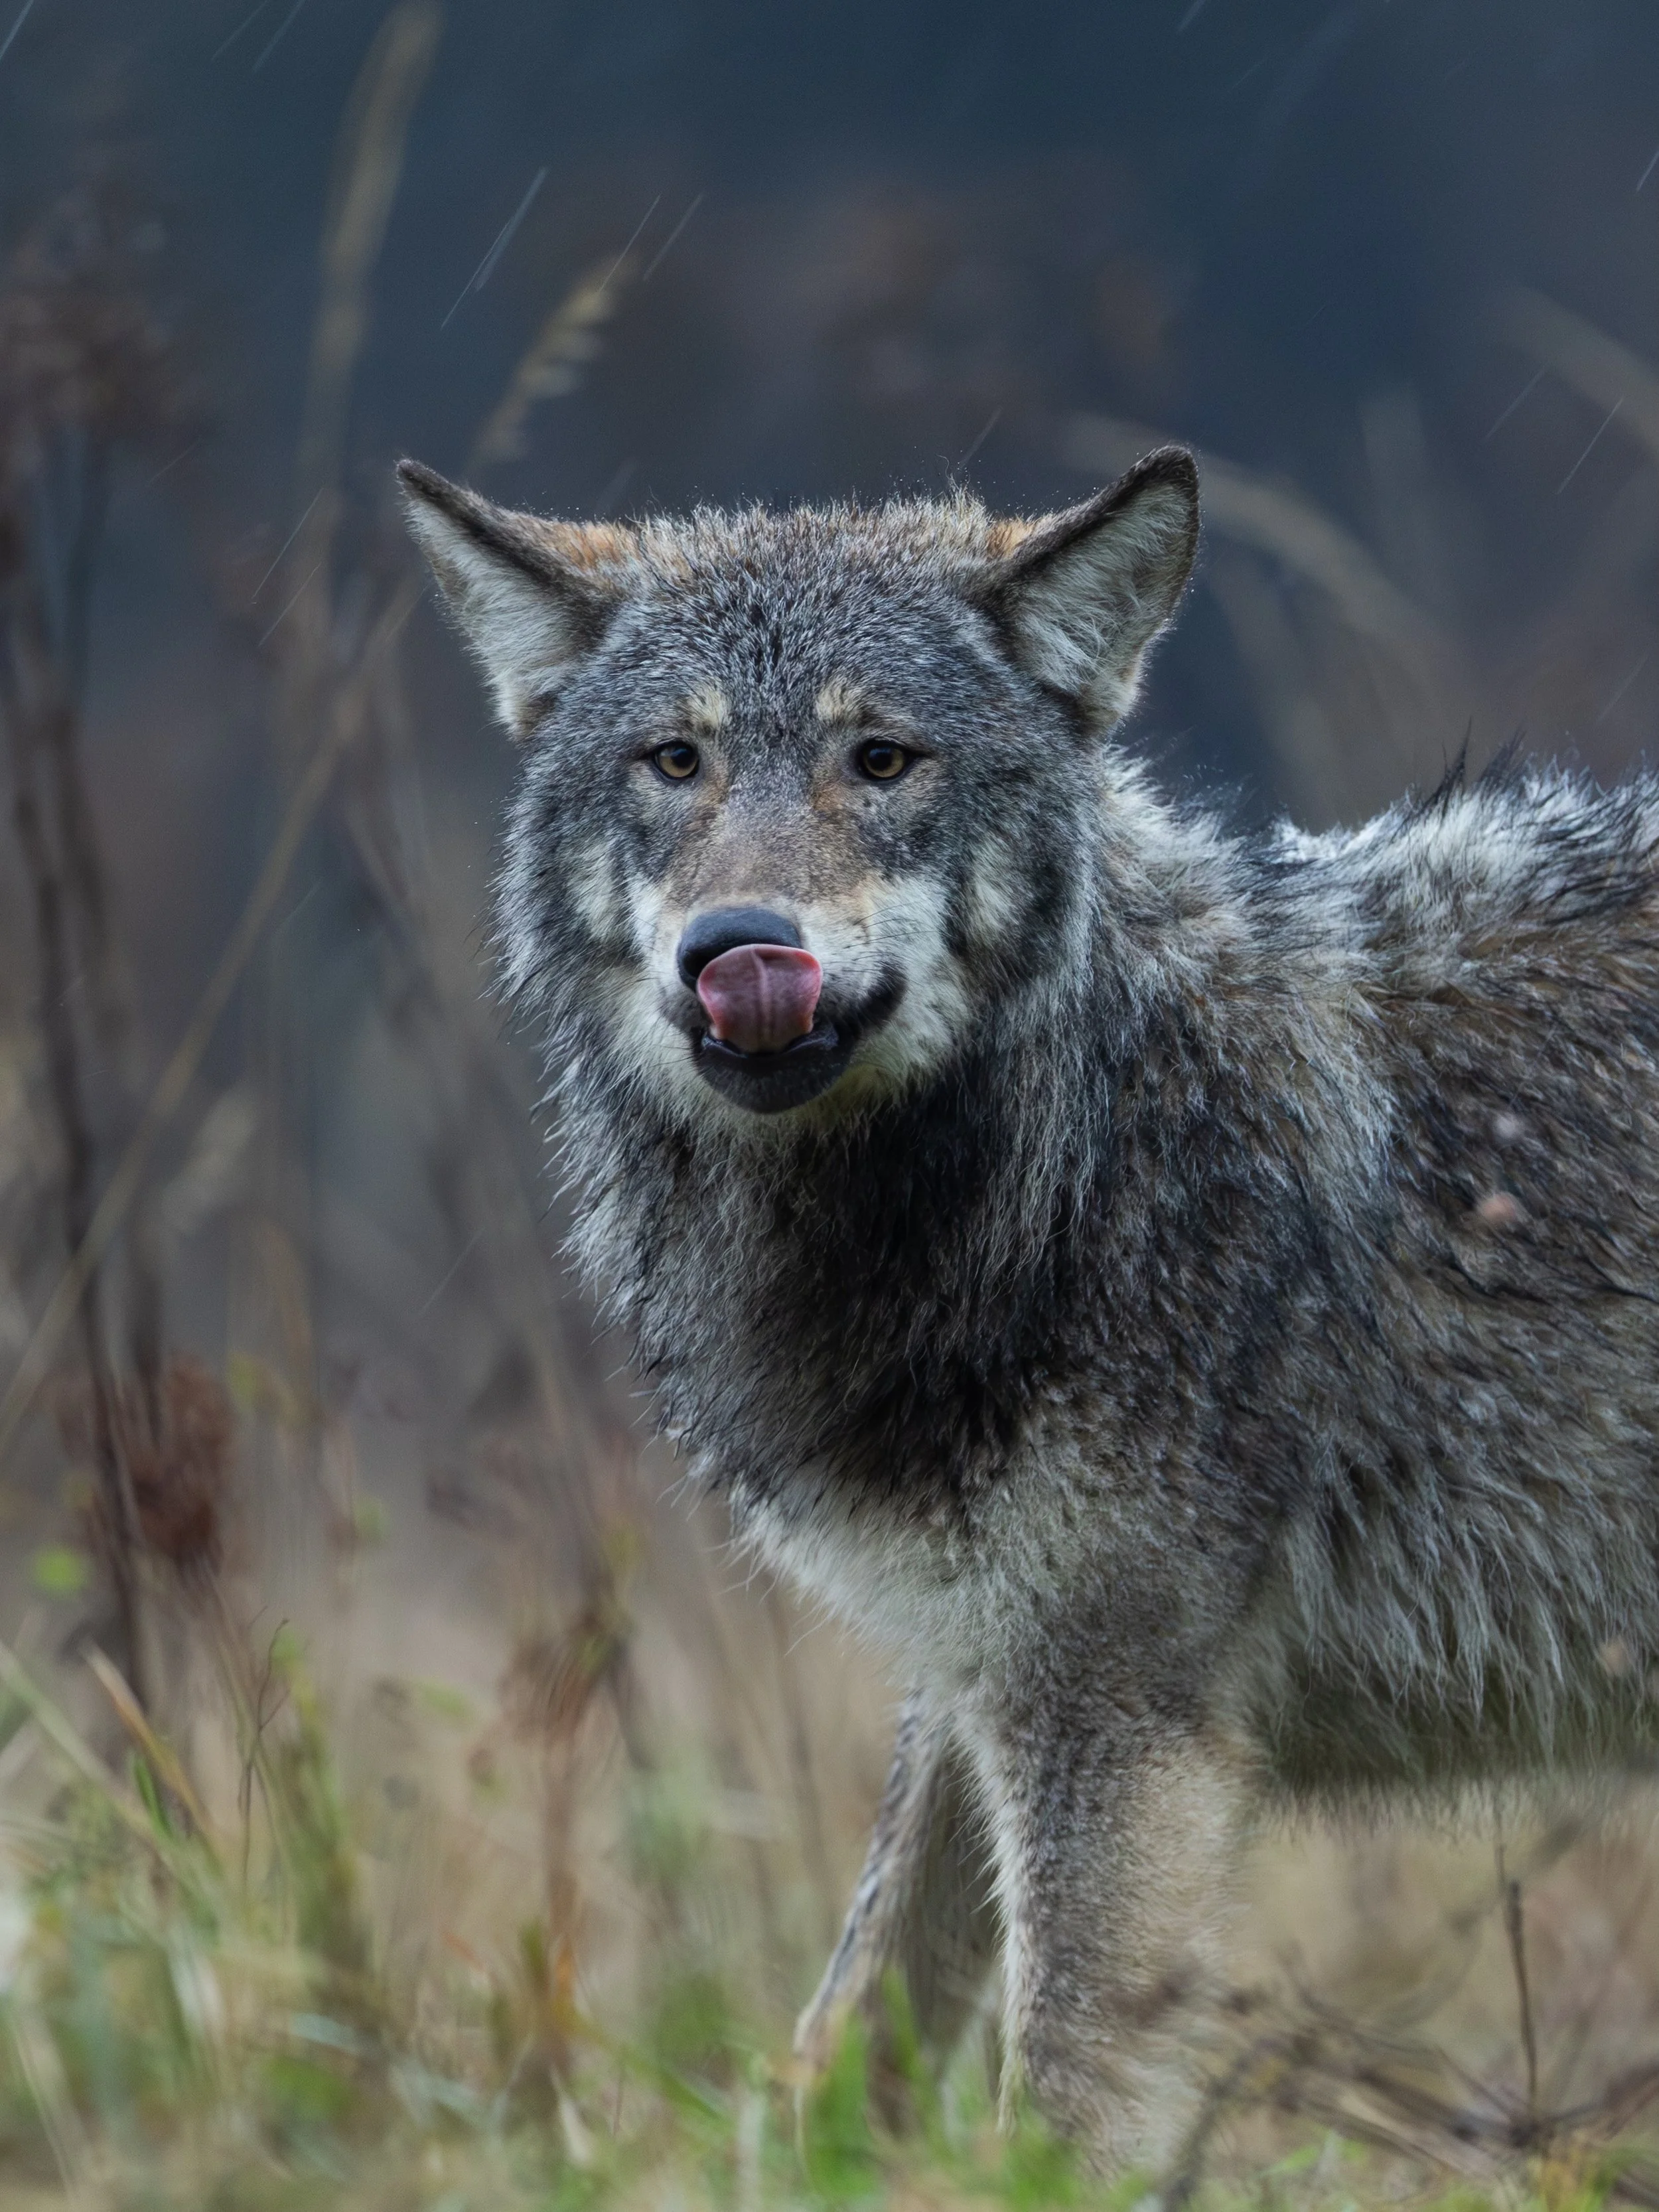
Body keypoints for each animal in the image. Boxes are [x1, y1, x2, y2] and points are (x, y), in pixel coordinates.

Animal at [400, 443, 1659, 2165]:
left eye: (880, 759)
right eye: (675, 762)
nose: (740, 949)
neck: (1071, 1148)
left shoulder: (1110, 1720)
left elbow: (1052, 2105)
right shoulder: (971, 1670)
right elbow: (844, 2031)